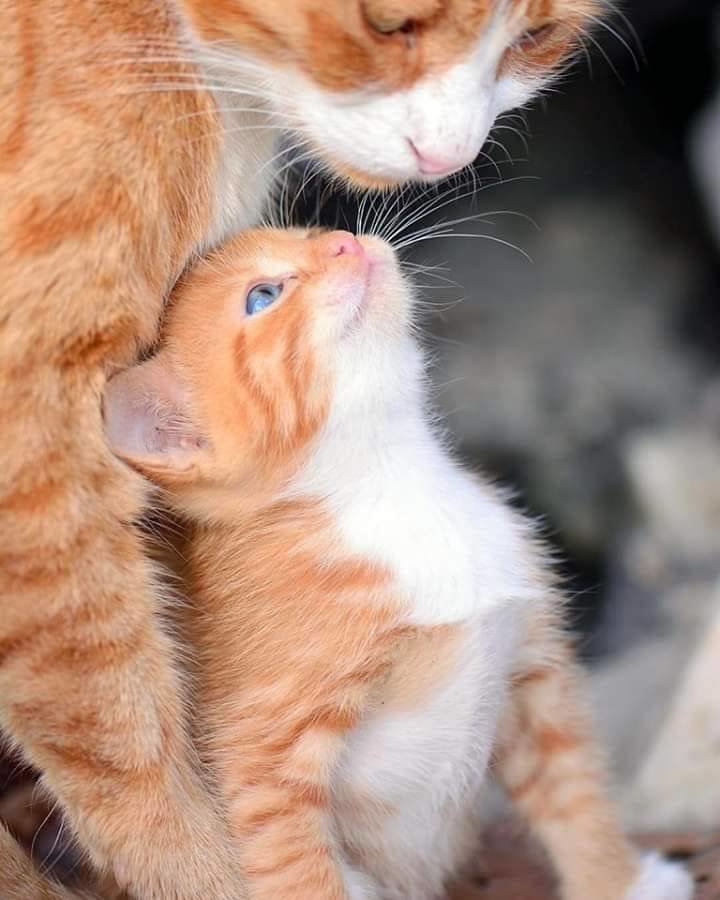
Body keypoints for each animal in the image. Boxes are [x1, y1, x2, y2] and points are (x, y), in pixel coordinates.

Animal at [104, 229, 696, 900]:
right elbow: (303, 876)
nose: (344, 242)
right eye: (262, 297)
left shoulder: (534, 672)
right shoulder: (263, 760)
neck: (394, 482)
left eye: (310, 233)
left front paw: (619, 881)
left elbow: (574, 792)